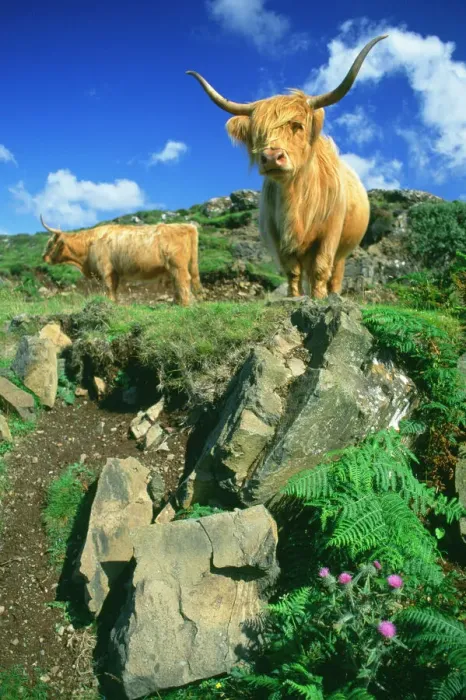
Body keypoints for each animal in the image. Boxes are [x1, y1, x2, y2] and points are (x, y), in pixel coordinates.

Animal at [41, 215, 202, 306]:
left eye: (50, 243)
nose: (44, 257)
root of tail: (188, 226)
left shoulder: (106, 270)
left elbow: (108, 289)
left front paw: (110, 303)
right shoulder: (115, 273)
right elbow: (114, 289)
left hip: (178, 265)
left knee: (183, 281)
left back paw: (183, 305)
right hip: (174, 267)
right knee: (178, 283)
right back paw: (176, 303)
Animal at [187, 35, 387, 299]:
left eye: (298, 125)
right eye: (258, 132)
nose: (272, 157)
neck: (296, 202)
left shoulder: (330, 234)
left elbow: (321, 269)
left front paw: (319, 300)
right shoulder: (277, 236)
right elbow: (292, 271)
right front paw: (296, 298)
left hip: (343, 249)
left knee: (335, 273)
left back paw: (333, 294)